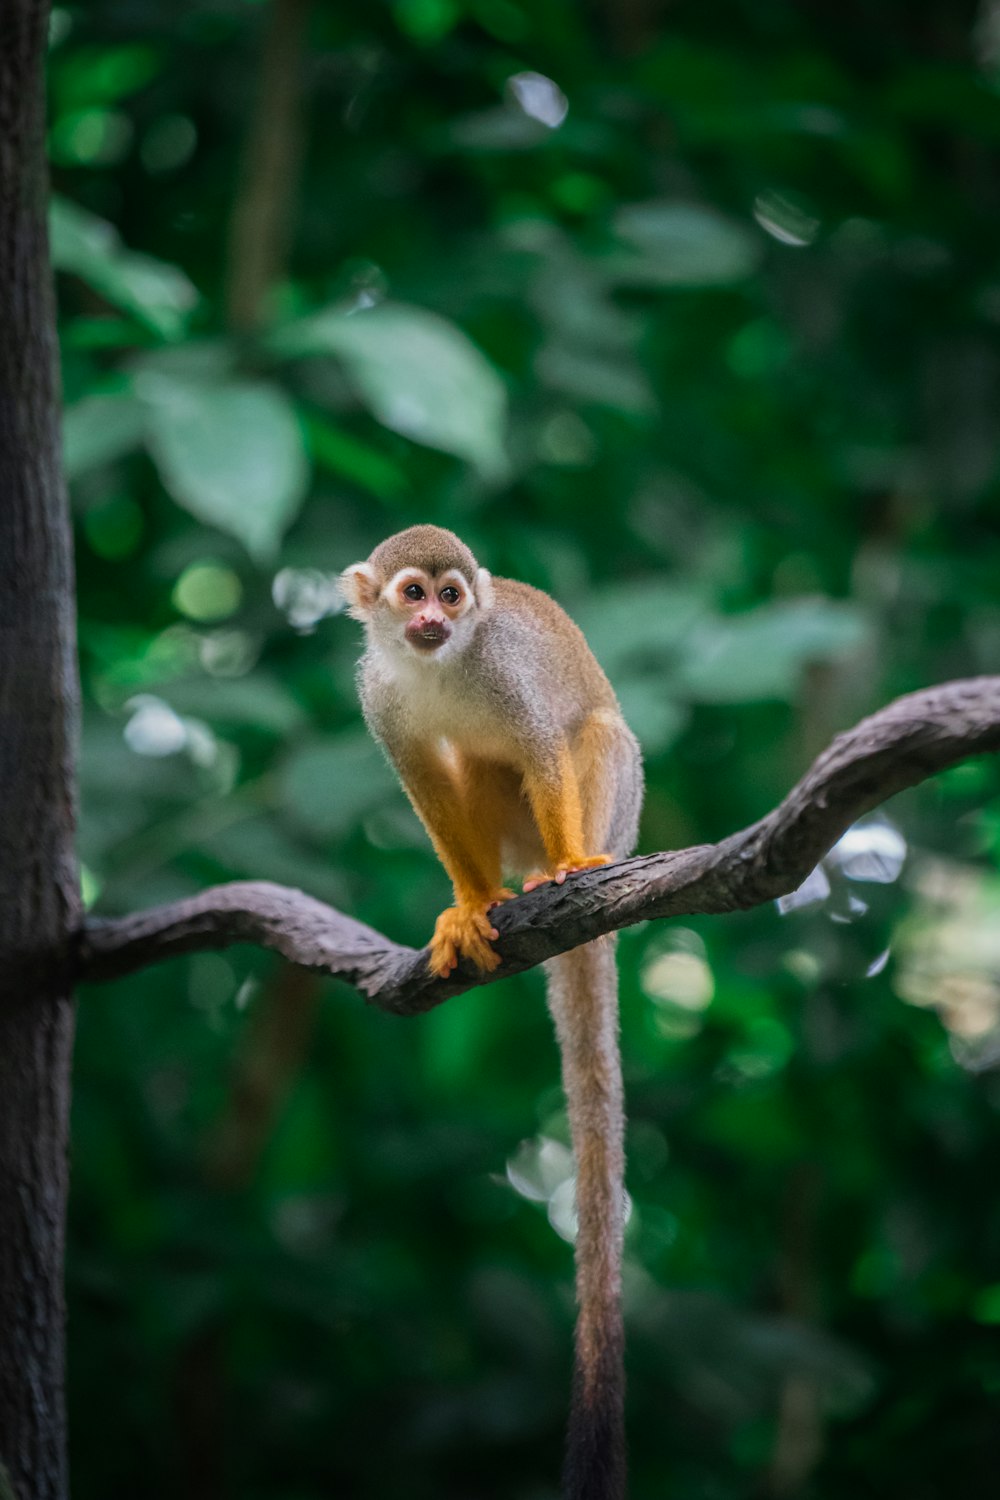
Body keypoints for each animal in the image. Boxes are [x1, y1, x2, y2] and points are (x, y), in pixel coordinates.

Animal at [341, 525, 641, 1500]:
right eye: (411, 594)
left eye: (452, 595)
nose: (435, 619)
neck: (437, 665)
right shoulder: (376, 697)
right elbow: (425, 781)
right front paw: (469, 907)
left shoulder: (507, 671)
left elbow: (545, 746)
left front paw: (568, 862)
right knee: (470, 765)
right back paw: (498, 894)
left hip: (622, 808)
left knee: (589, 733)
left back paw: (565, 869)